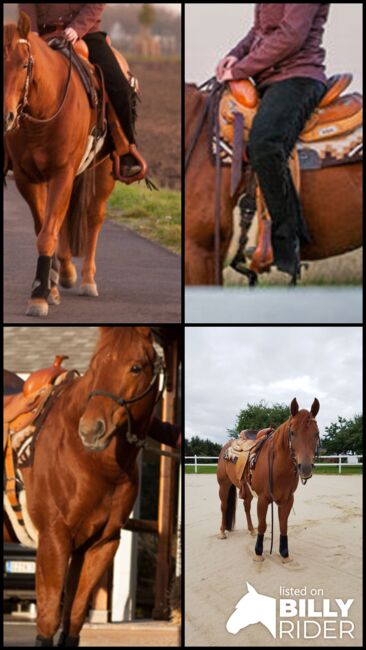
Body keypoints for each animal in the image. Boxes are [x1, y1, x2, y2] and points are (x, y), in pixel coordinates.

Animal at [3, 12, 114, 316]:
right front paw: (48, 287)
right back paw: (64, 274)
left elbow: (47, 233)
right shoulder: (28, 179)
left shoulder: (62, 173)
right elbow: (44, 228)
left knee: (94, 216)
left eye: (25, 64)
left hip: (104, 172)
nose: (6, 116)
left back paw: (87, 280)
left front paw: (38, 296)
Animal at [3, 326, 164, 644]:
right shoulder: (54, 540)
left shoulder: (99, 545)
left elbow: (74, 619)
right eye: (95, 366)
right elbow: (48, 621)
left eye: (136, 367)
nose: (91, 430)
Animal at [217, 398, 320, 560]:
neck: (278, 466)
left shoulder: (288, 499)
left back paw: (251, 530)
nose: (305, 467)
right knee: (224, 506)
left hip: (246, 489)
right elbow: (263, 525)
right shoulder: (263, 498)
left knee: (246, 506)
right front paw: (258, 552)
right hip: (224, 485)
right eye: (292, 432)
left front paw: (284, 553)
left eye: (316, 433)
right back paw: (222, 532)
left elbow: (283, 525)